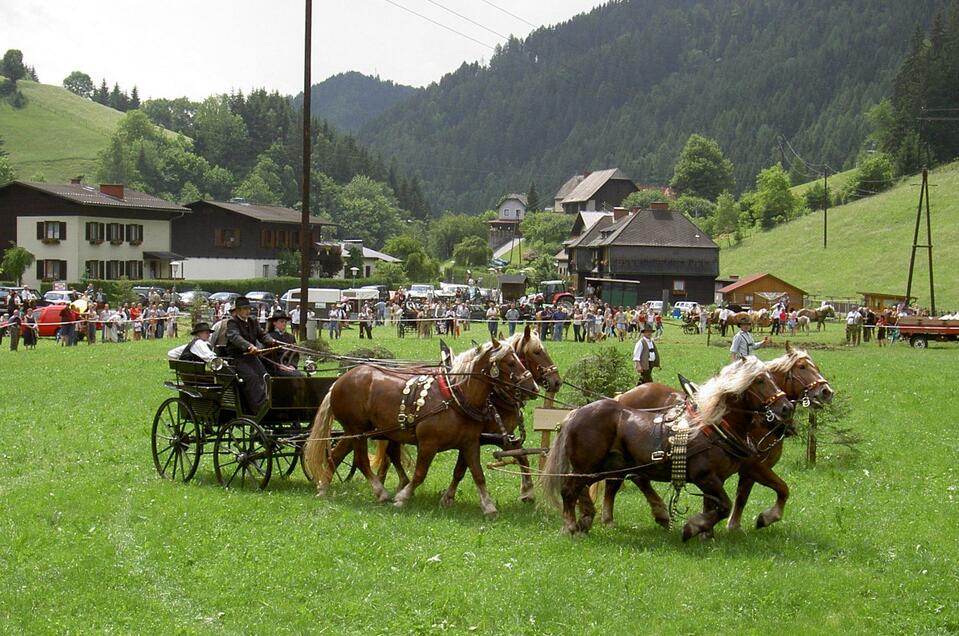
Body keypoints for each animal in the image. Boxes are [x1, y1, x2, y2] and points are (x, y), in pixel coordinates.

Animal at [540, 358, 796, 540]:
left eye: (772, 377)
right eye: (759, 380)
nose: (786, 408)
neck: (714, 426)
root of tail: (575, 413)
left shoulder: (733, 473)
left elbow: (772, 491)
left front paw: (709, 532)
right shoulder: (706, 476)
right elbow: (725, 505)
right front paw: (694, 527)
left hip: (604, 467)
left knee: (587, 488)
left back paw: (588, 519)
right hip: (589, 466)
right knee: (569, 490)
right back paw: (571, 526)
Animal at [616, 346, 832, 528]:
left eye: (817, 366)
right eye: (802, 367)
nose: (827, 391)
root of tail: (622, 396)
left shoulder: (744, 470)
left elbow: (741, 496)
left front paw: (721, 526)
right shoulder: (753, 466)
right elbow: (776, 489)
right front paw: (758, 519)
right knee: (633, 478)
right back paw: (657, 513)